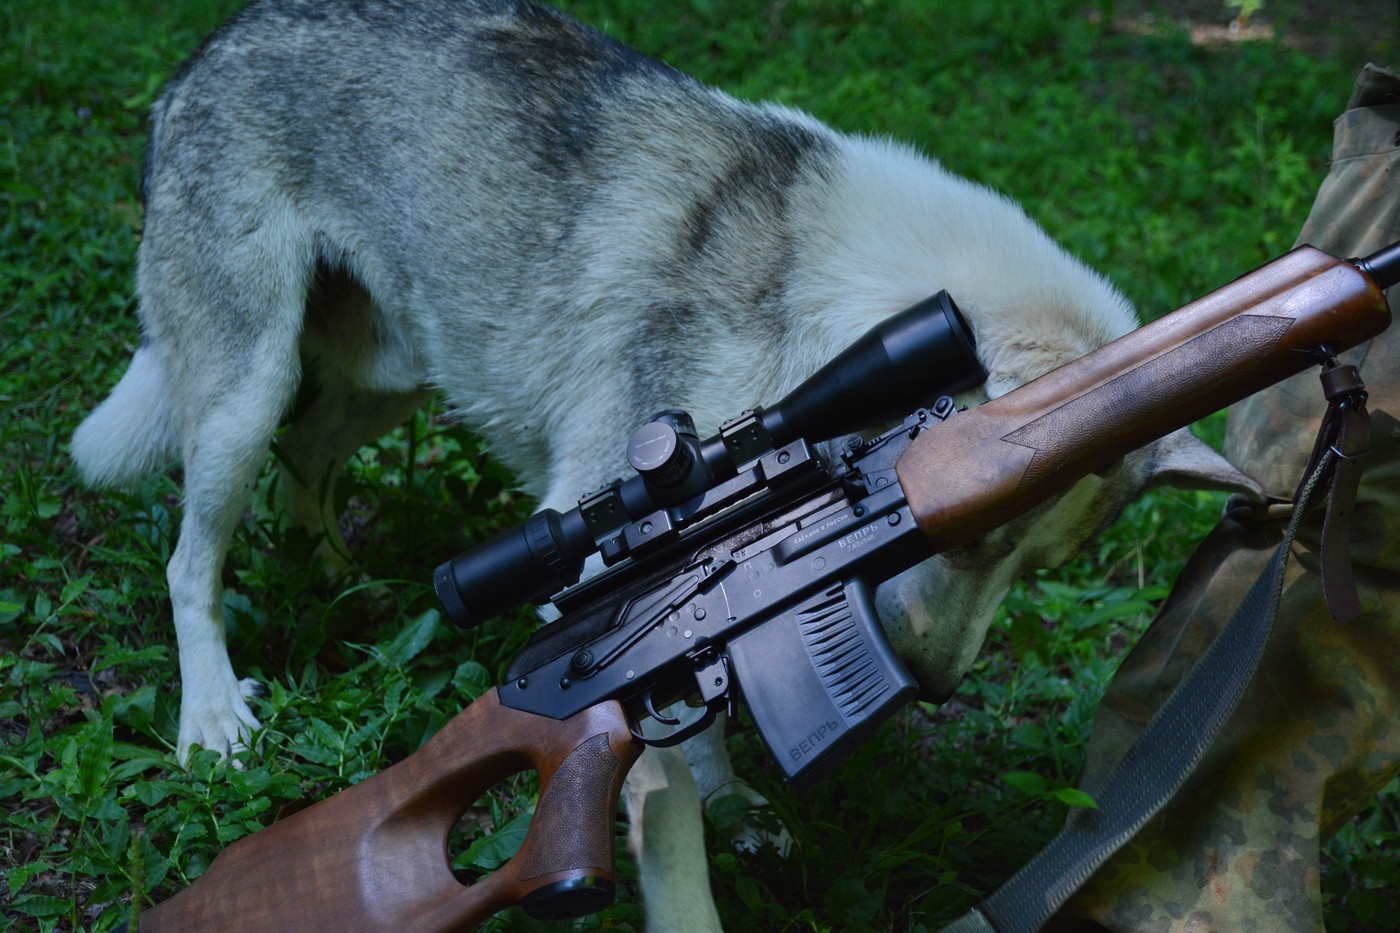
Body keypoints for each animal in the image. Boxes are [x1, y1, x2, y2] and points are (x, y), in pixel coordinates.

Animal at [73, 0, 1260, 924]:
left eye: (1031, 565)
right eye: (974, 541)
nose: (931, 684)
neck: (814, 315)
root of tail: (209, 45)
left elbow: (706, 725)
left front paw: (735, 802)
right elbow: (667, 818)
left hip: (400, 366)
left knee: (310, 455)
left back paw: (332, 572)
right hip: (248, 387)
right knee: (191, 558)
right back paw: (213, 720)